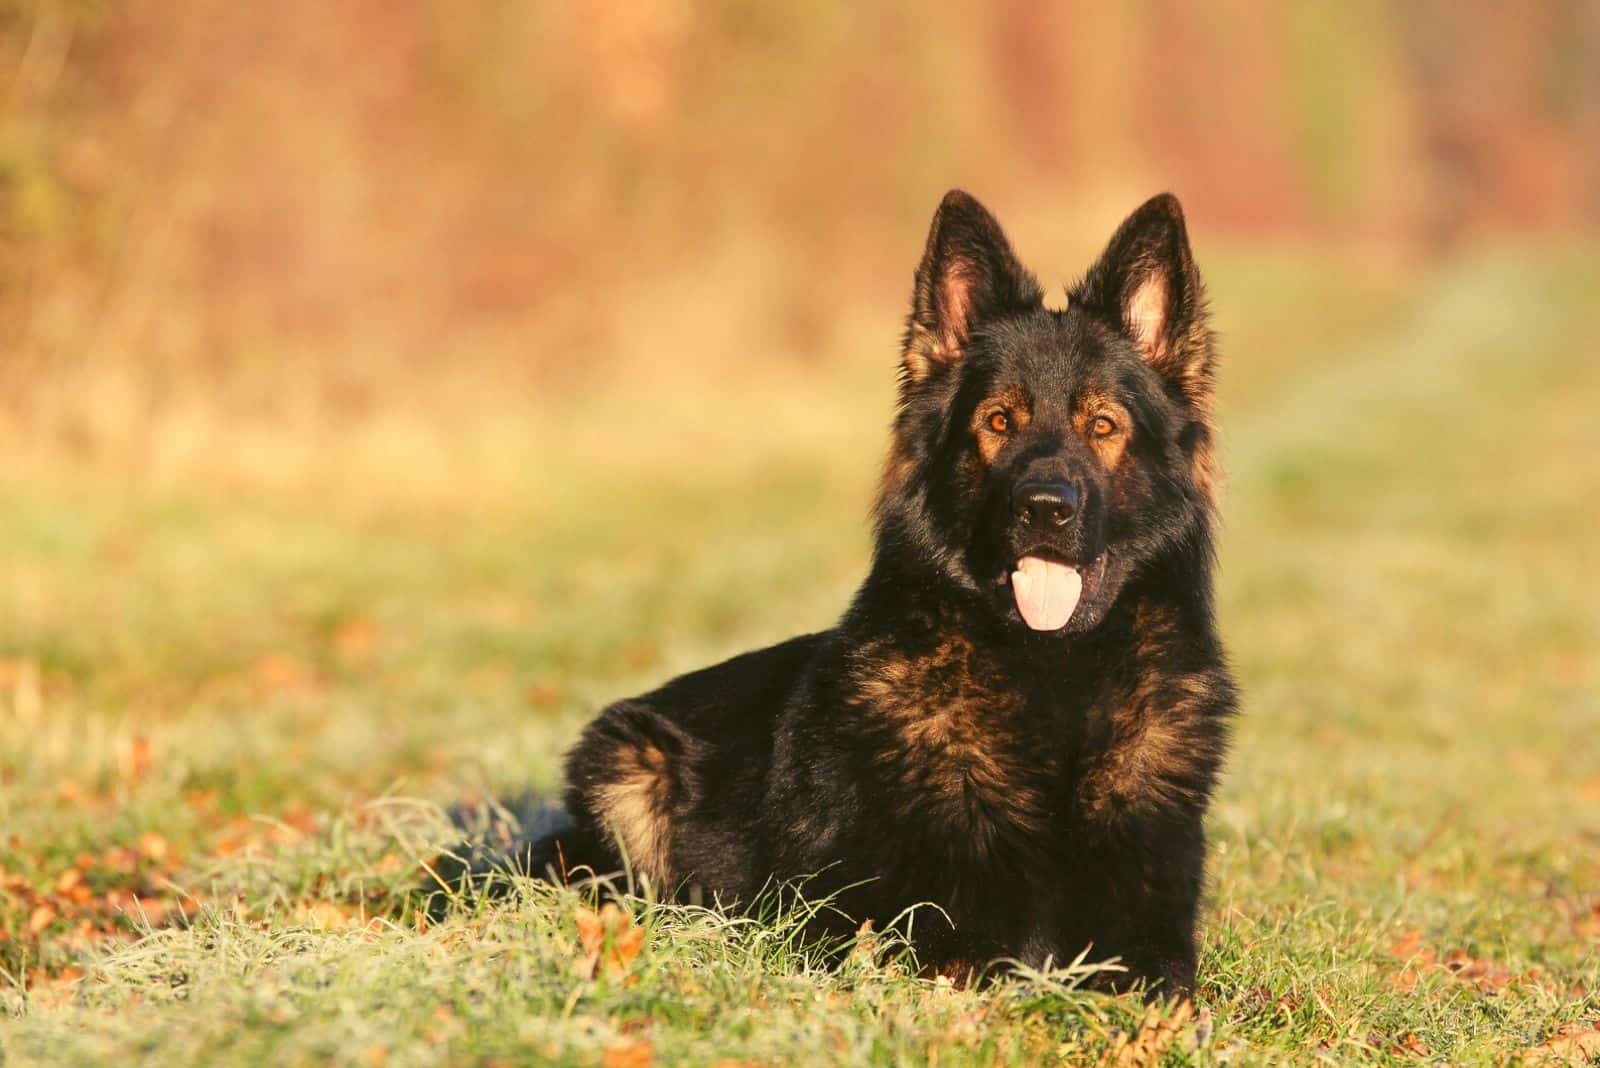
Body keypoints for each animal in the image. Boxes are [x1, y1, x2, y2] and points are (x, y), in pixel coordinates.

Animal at [438, 191, 1235, 1004]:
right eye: (998, 422)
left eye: (1102, 425)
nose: (1046, 507)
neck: (1052, 680)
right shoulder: (901, 934)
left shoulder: (1154, 938)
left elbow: (1164, 980)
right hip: (627, 764)